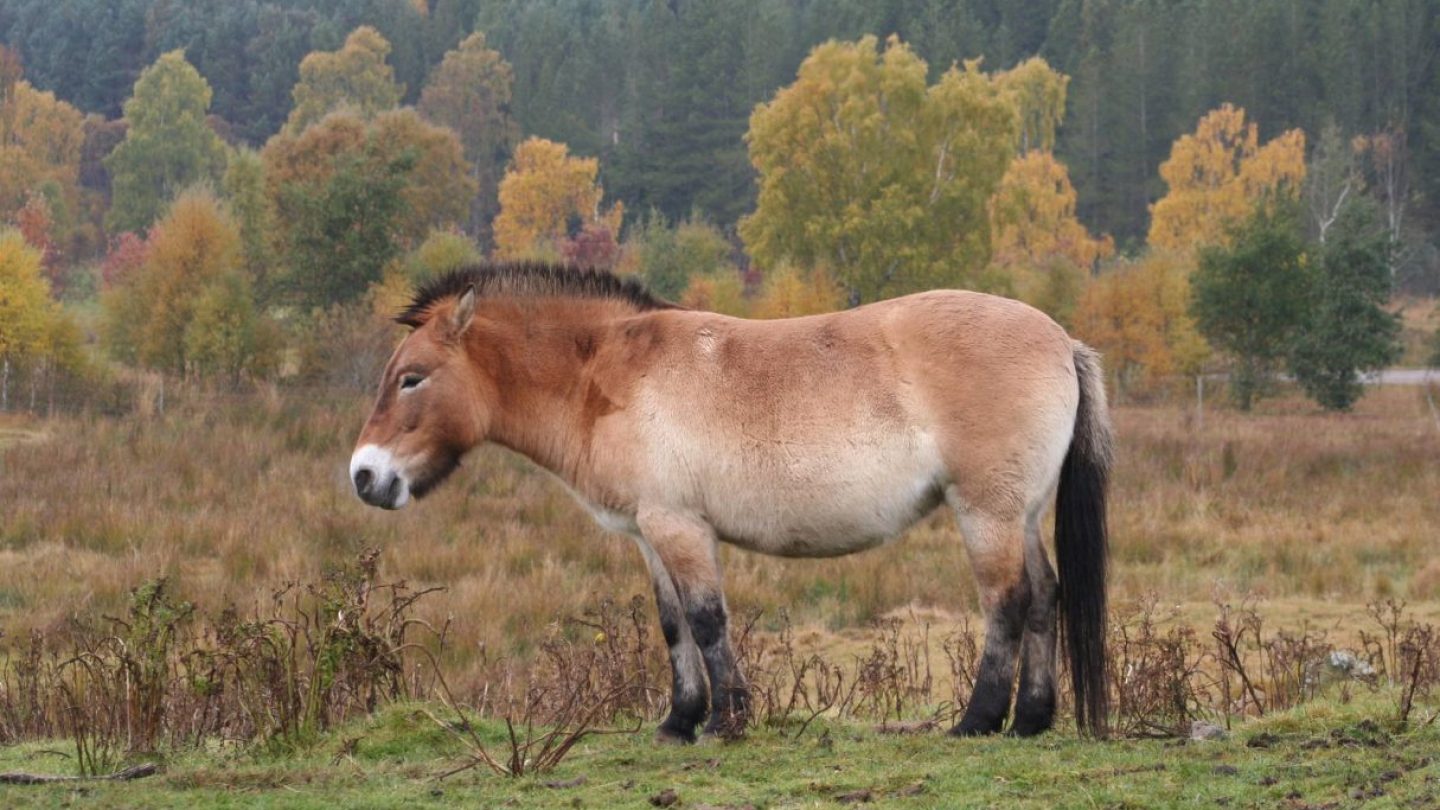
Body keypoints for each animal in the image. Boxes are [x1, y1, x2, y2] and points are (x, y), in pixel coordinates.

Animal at [348, 265, 1111, 737]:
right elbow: (673, 625)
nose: (364, 476)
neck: (608, 373)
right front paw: (679, 721)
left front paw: (726, 720)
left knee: (1008, 602)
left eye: (412, 378)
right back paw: (1032, 720)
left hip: (986, 511)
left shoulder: (680, 526)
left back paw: (978, 720)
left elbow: (708, 619)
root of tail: (1061, 339)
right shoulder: (650, 533)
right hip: (1019, 513)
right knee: (1045, 596)